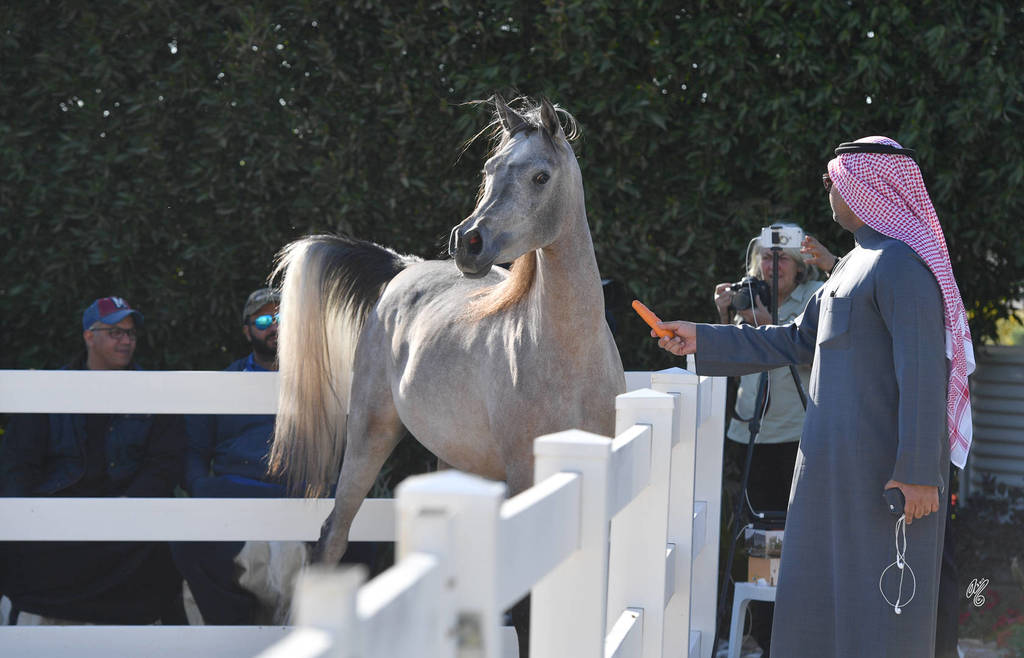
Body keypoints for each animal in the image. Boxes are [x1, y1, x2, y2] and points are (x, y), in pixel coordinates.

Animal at [269, 95, 626, 566]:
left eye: (540, 176)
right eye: (489, 169)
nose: (467, 242)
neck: (569, 356)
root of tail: (404, 267)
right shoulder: (523, 475)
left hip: (453, 459)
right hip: (370, 434)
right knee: (333, 534)